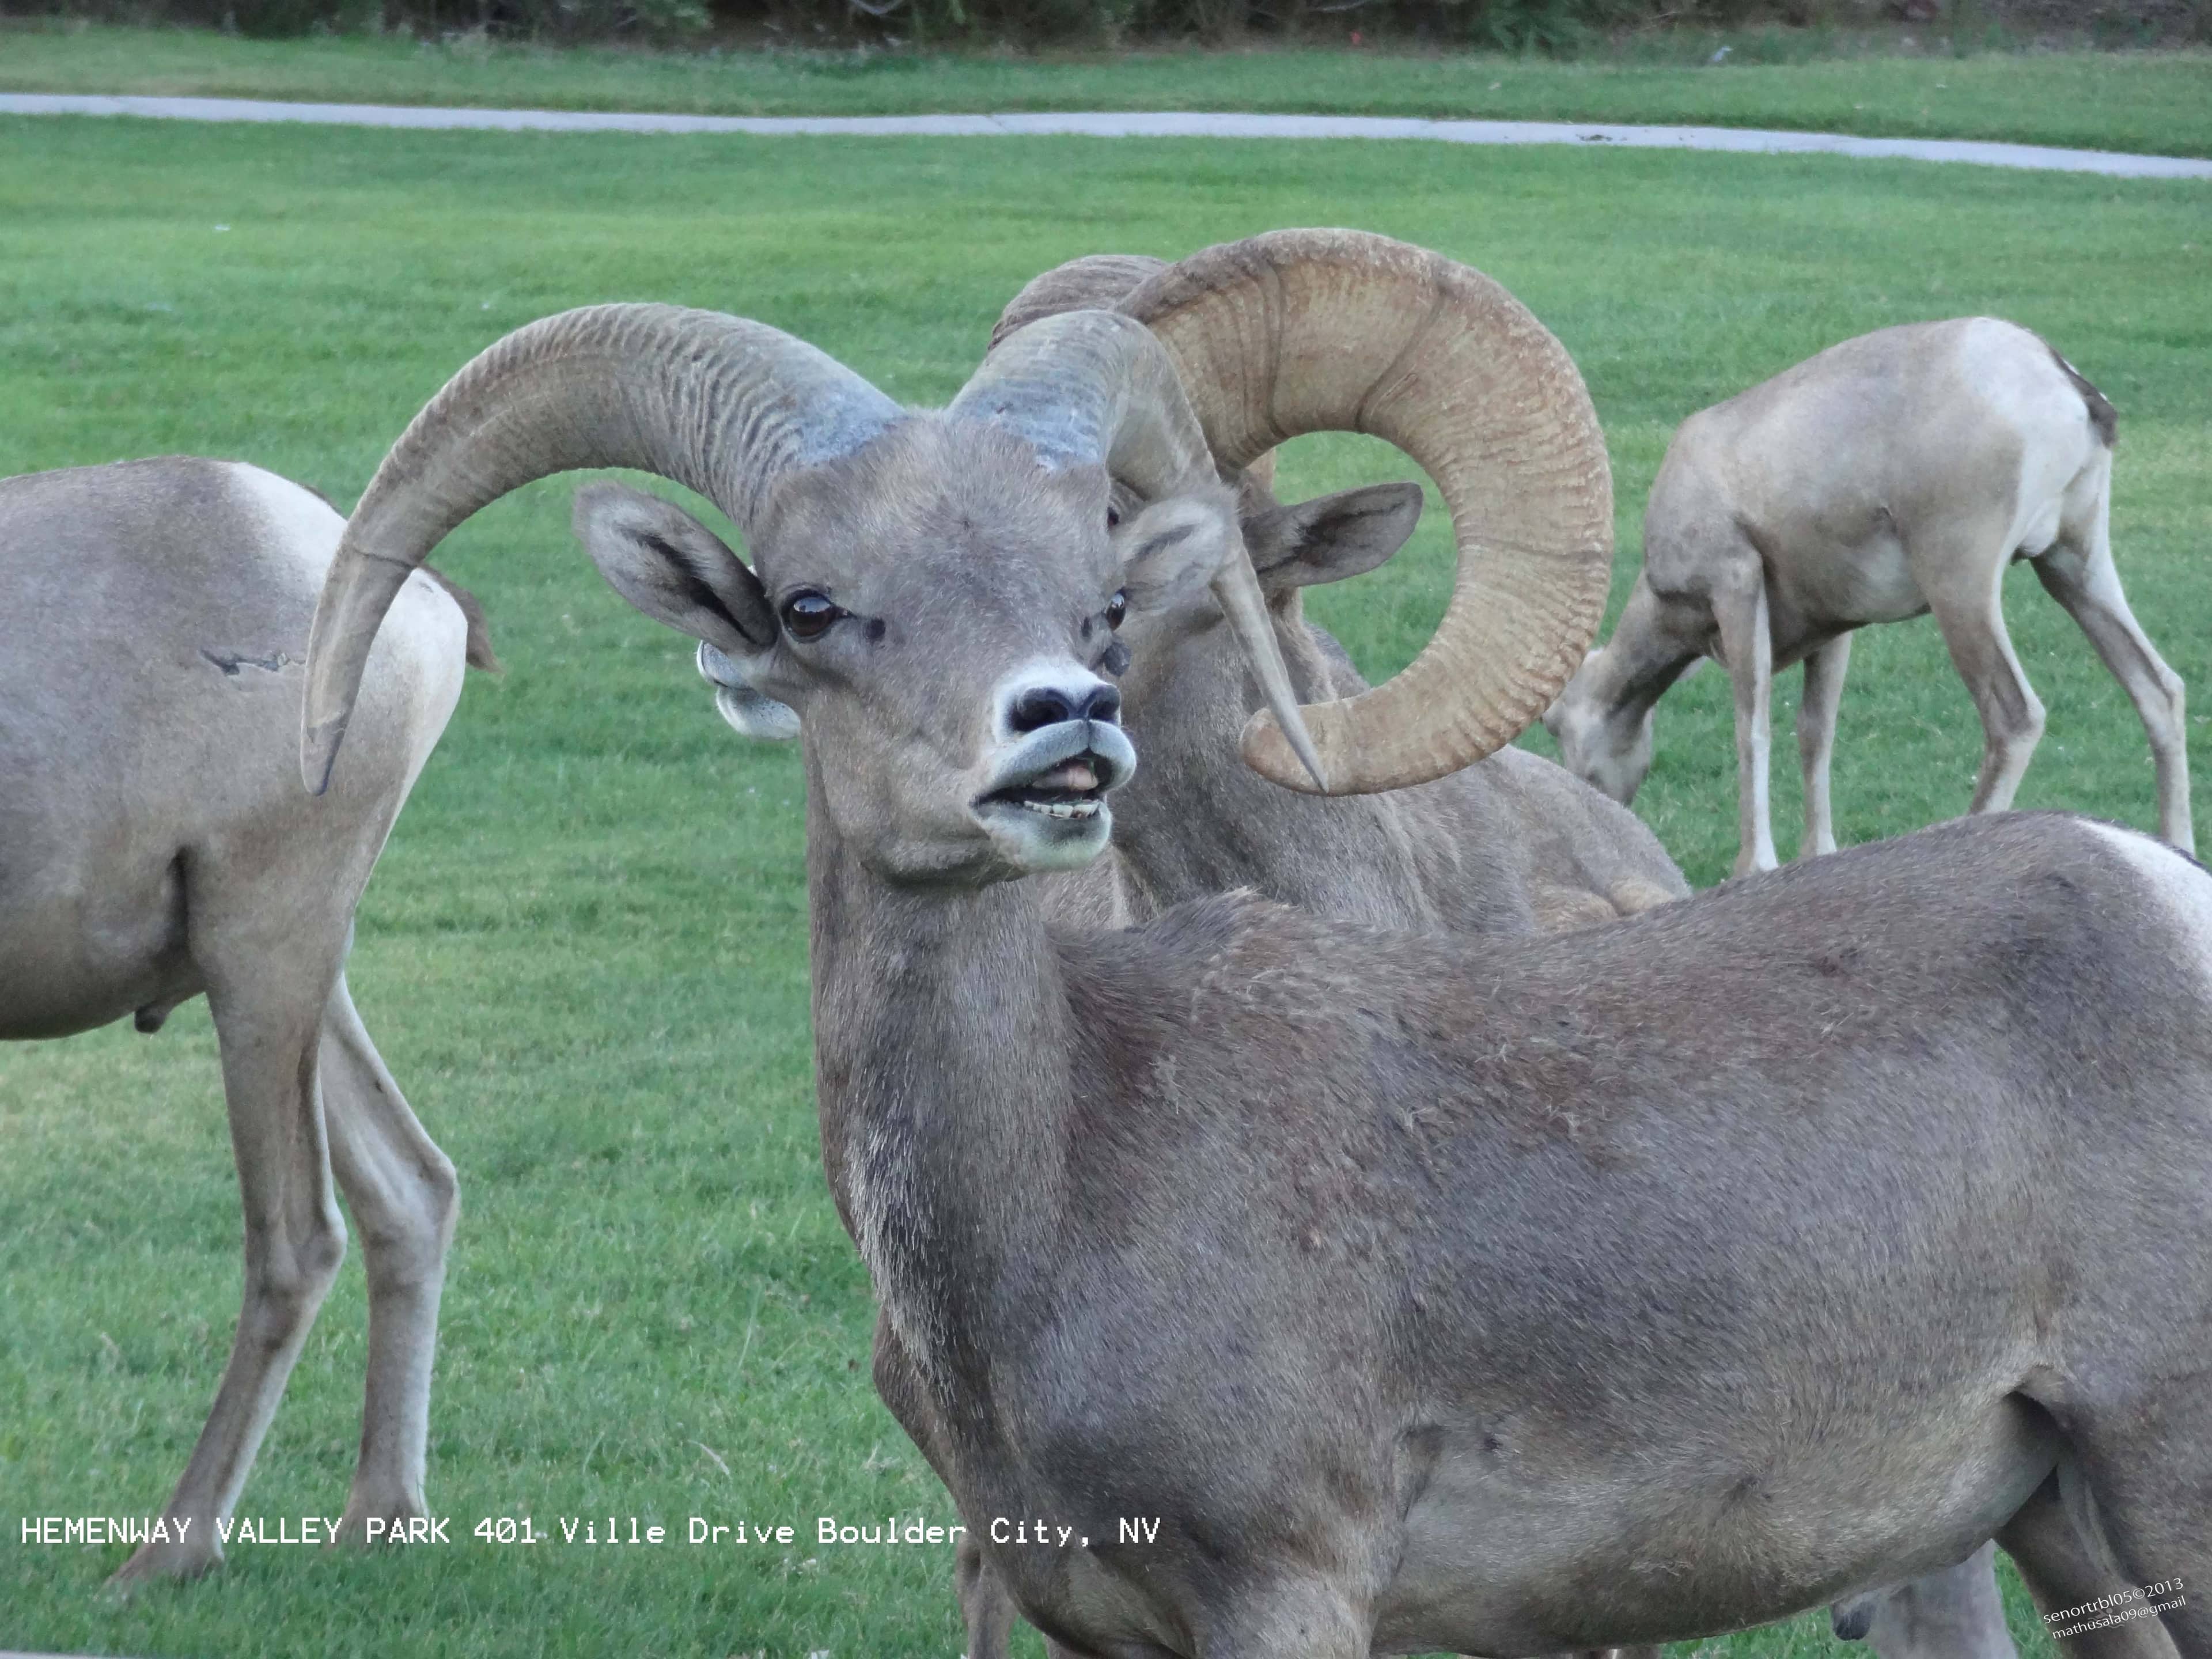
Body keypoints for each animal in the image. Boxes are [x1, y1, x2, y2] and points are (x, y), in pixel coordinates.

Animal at [0, 455, 492, 1584]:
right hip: (299, 969)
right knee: (414, 1188)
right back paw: (377, 1519)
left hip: (262, 960)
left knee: (300, 1240)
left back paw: (164, 1558)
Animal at [1541, 318, 2190, 875]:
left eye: (1552, 724)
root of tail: (2063, 382)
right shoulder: (1833, 630)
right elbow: (1815, 732)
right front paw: (1817, 855)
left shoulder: (1736, 586)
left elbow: (1753, 725)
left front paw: (1755, 866)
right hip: (2073, 563)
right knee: (2158, 688)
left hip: (1962, 579)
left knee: (2015, 715)